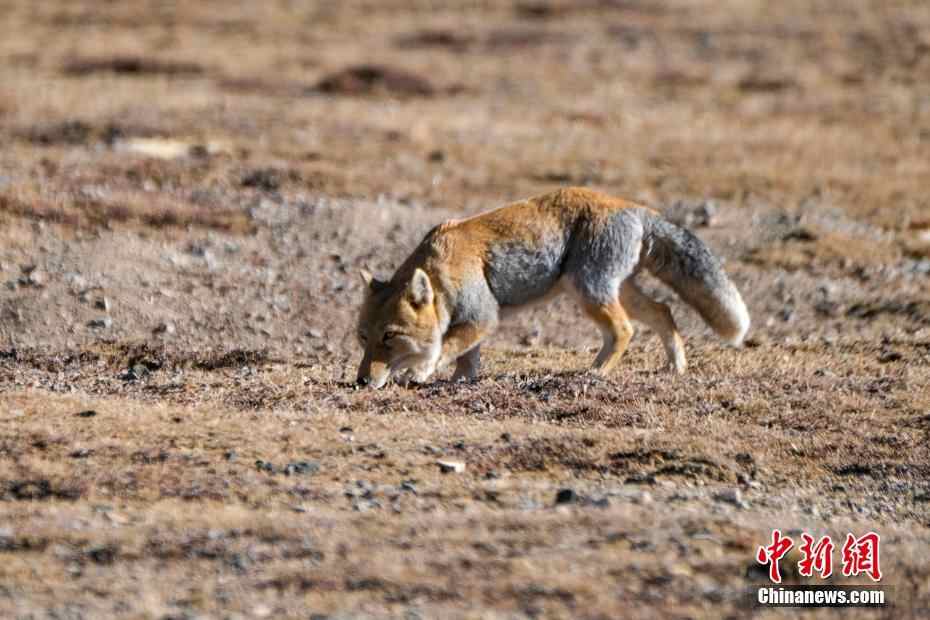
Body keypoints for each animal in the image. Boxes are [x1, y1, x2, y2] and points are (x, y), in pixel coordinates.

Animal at [355, 187, 749, 389]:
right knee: (663, 312)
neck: (441, 269)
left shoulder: (483, 316)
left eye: (389, 336)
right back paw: (674, 366)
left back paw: (597, 373)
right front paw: (460, 382)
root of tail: (633, 206)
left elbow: (447, 346)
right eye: (362, 337)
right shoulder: (474, 323)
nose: (361, 381)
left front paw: (422, 371)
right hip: (614, 291)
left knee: (625, 330)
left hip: (589, 291)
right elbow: (467, 358)